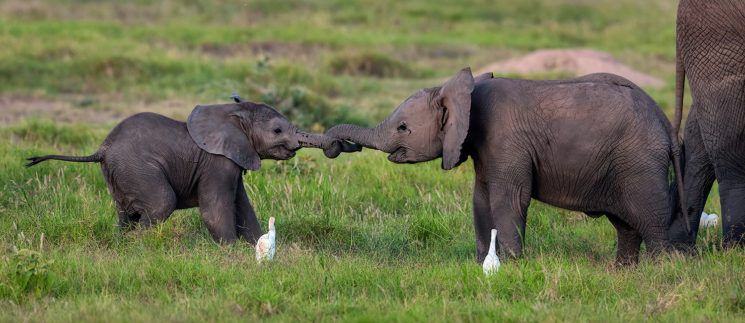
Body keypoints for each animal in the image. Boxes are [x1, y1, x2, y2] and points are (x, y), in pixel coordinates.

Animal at [29, 101, 364, 243]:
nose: (342, 145)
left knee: (125, 214)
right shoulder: (217, 163)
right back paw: (140, 245)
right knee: (160, 204)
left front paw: (255, 245)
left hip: (119, 174)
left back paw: (123, 242)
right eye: (278, 130)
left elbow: (243, 206)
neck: (232, 116)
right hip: (139, 168)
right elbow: (216, 208)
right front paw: (230, 251)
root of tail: (103, 148)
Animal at [328, 67, 688, 266]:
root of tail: (667, 126)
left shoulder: (506, 140)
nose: (339, 146)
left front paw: (513, 265)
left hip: (638, 163)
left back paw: (660, 270)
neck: (467, 94)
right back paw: (624, 271)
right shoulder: (486, 149)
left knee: (650, 218)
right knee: (626, 224)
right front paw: (480, 265)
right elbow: (480, 200)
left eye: (403, 128)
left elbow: (508, 199)